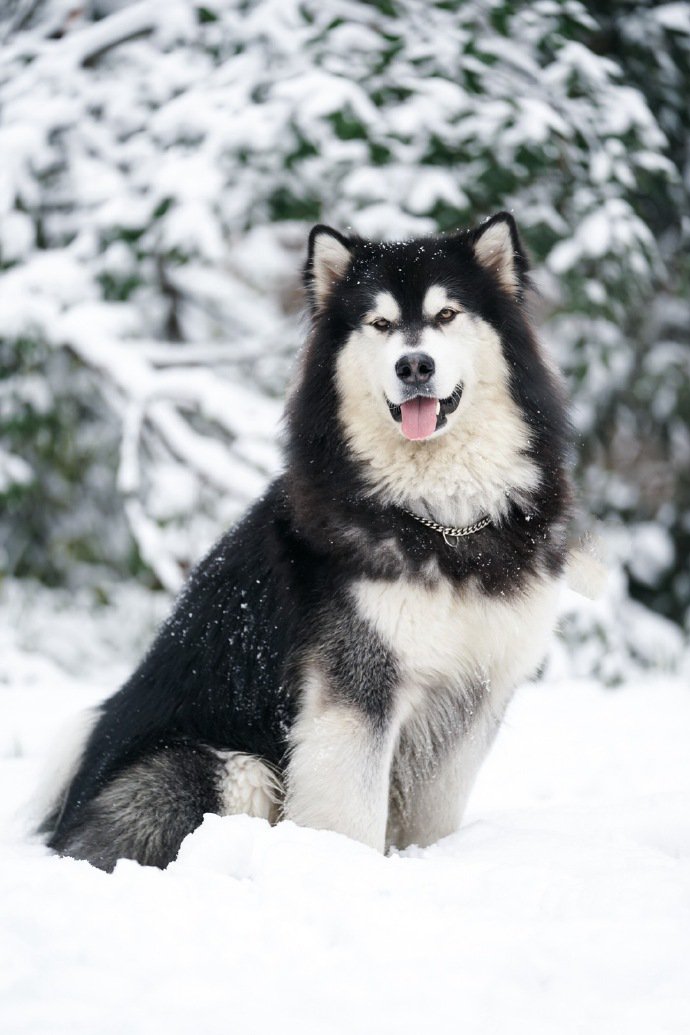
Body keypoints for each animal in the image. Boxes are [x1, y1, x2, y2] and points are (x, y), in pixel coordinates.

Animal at [40, 214, 575, 869]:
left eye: (447, 314)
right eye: (380, 324)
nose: (414, 366)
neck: (440, 519)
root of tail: (63, 821)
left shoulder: (475, 694)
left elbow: (434, 819)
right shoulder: (355, 692)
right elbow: (349, 817)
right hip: (229, 768)